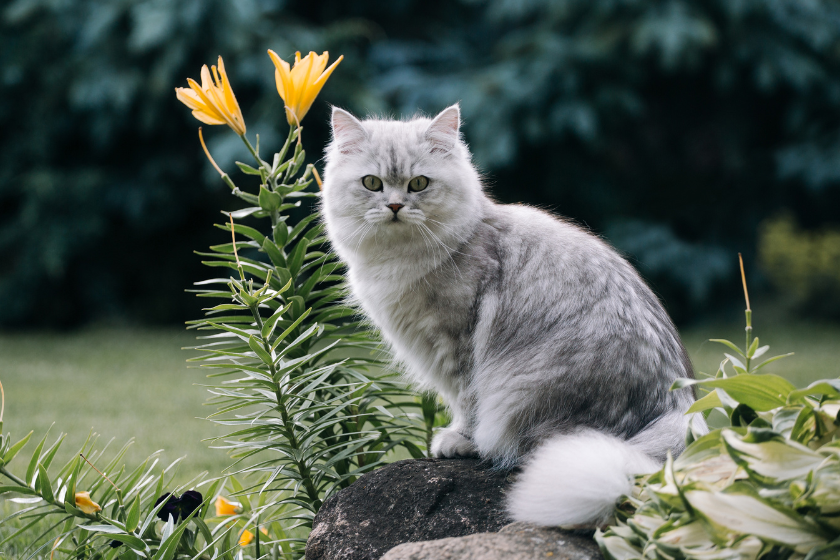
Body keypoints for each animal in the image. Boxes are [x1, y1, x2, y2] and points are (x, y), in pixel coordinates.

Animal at [318, 104, 704, 524]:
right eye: (372, 183)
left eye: (418, 184)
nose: (394, 206)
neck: (401, 258)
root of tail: (677, 408)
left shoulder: (458, 344)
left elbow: (465, 401)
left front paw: (458, 440)